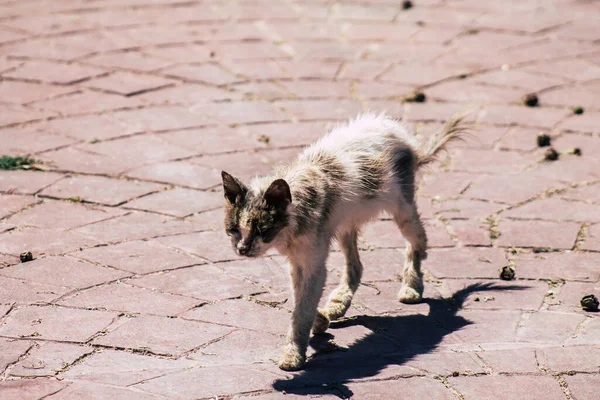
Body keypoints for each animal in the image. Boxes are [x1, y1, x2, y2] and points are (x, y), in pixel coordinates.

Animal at [220, 112, 474, 372]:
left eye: (262, 230)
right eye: (233, 230)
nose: (242, 249)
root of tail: (396, 130)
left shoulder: (313, 263)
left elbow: (302, 308)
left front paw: (293, 353)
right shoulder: (298, 263)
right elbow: (300, 300)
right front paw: (319, 321)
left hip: (402, 209)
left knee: (419, 243)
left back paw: (412, 287)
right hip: (345, 226)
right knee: (357, 267)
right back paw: (339, 302)